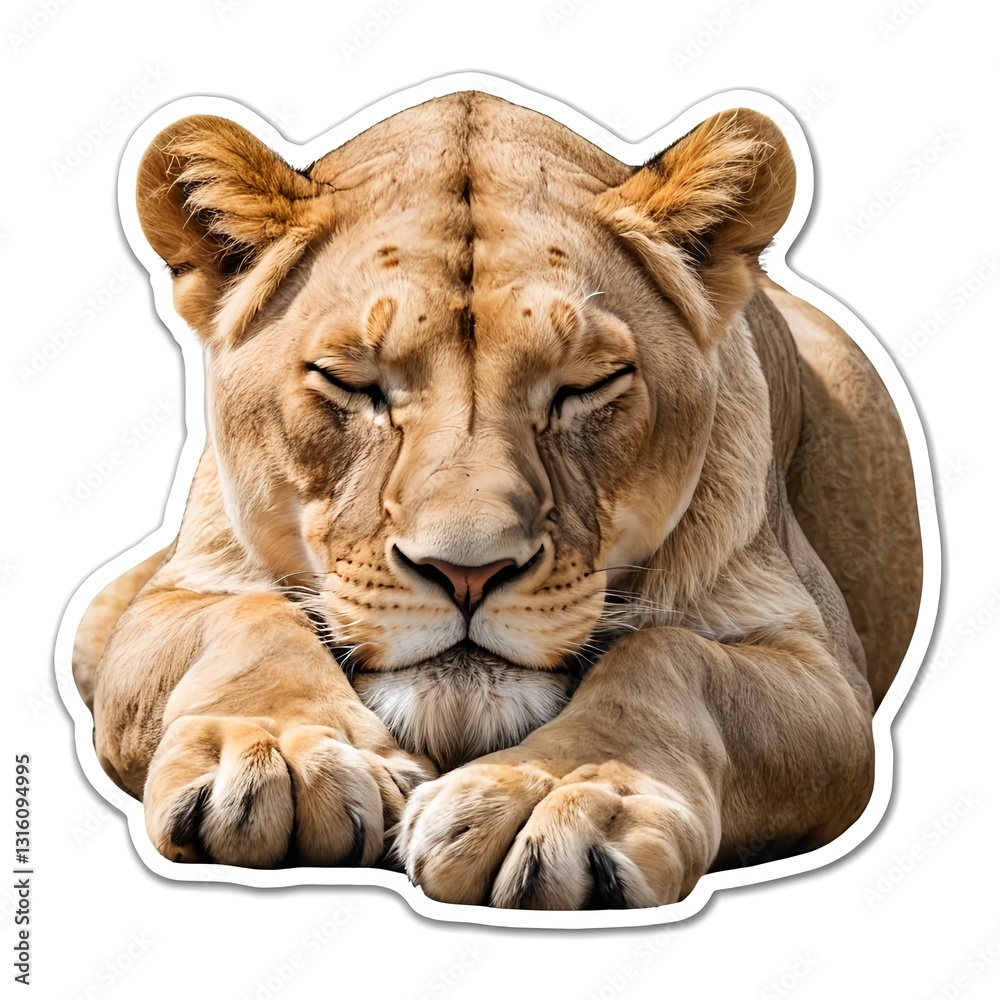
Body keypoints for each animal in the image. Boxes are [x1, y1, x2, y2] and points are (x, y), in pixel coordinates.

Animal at [71, 91, 922, 910]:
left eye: (585, 385)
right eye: (353, 382)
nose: (468, 573)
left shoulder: (825, 675)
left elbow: (670, 654)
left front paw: (552, 797)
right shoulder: (171, 598)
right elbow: (250, 613)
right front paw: (280, 753)